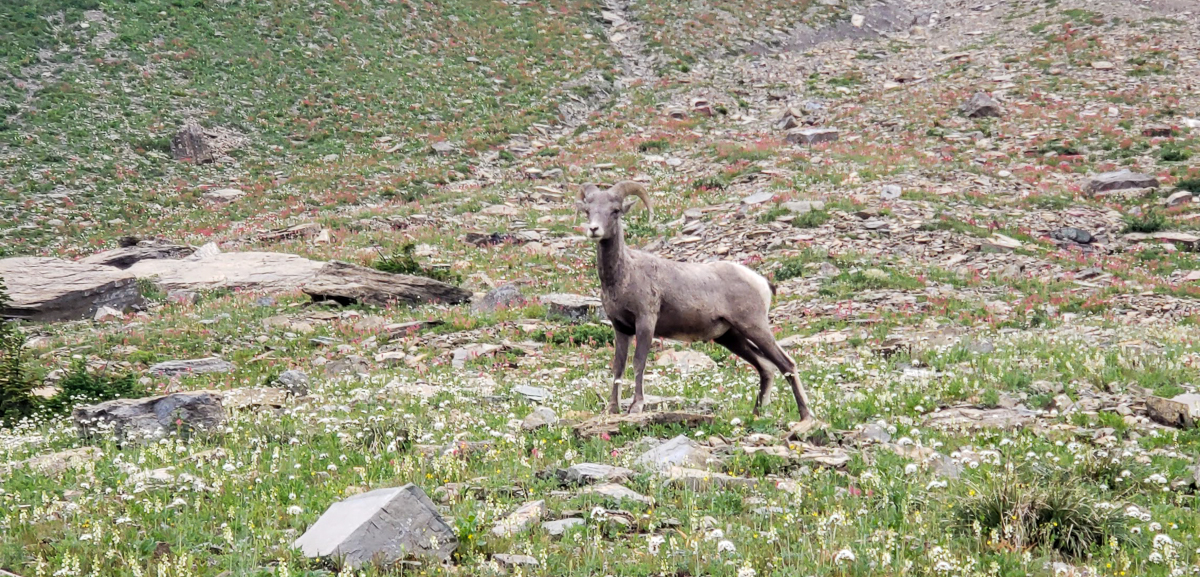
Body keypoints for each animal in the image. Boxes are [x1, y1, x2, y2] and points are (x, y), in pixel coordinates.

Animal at [578, 179, 816, 422]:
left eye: (615, 211)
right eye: (588, 210)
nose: (594, 230)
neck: (623, 275)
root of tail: (762, 282)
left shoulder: (645, 322)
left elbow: (638, 362)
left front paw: (636, 406)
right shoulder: (621, 328)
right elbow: (618, 366)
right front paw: (612, 409)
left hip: (754, 327)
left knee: (786, 363)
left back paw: (805, 415)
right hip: (730, 337)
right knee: (766, 367)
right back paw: (756, 414)